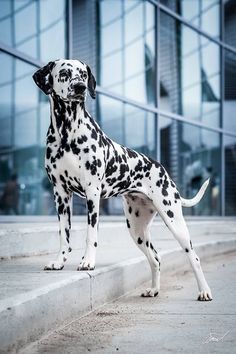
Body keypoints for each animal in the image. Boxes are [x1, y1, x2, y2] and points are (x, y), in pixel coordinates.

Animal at [32, 58, 212, 302]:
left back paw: (204, 291)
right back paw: (154, 289)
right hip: (137, 230)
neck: (67, 132)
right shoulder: (60, 194)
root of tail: (163, 170)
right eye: (65, 73)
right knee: (155, 258)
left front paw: (87, 262)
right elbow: (64, 234)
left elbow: (91, 233)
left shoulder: (92, 193)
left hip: (174, 220)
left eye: (83, 74)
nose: (80, 87)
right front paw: (59, 262)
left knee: (193, 256)